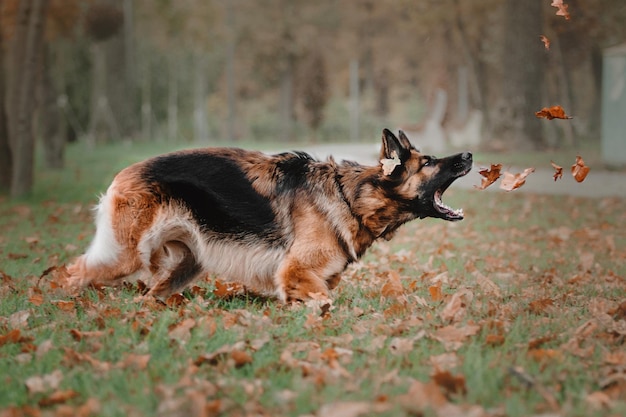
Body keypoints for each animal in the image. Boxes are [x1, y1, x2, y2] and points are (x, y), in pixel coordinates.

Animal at [63, 128, 470, 300]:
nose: (468, 154)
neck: (351, 196)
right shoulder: (297, 273)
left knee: (150, 295)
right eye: (429, 162)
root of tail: (125, 173)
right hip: (124, 257)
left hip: (186, 265)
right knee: (73, 273)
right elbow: (327, 303)